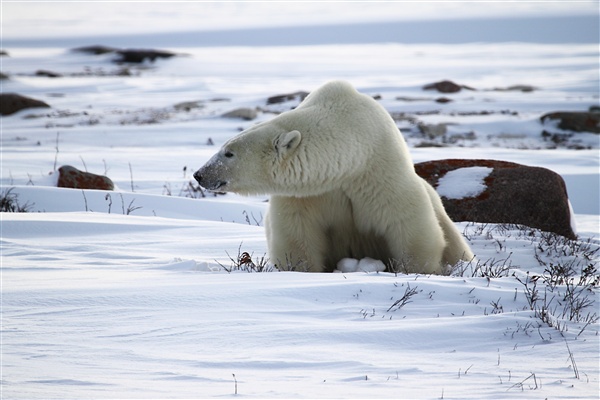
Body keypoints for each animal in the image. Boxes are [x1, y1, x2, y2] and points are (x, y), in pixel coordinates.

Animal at [196, 79, 474, 274]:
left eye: (228, 153)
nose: (199, 175)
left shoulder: (379, 176)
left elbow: (408, 224)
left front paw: (415, 270)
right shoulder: (306, 194)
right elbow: (297, 234)